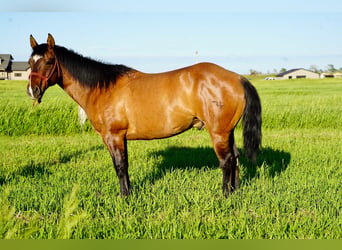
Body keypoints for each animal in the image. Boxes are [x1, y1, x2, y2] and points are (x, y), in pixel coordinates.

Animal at [27, 33, 262, 197]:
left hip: (218, 132)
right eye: (30, 63)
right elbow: (122, 165)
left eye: (49, 61)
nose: (32, 90)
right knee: (235, 158)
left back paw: (224, 195)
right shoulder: (116, 138)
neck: (102, 88)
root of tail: (237, 78)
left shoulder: (114, 136)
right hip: (227, 131)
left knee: (227, 161)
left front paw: (125, 197)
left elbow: (120, 167)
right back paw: (235, 192)